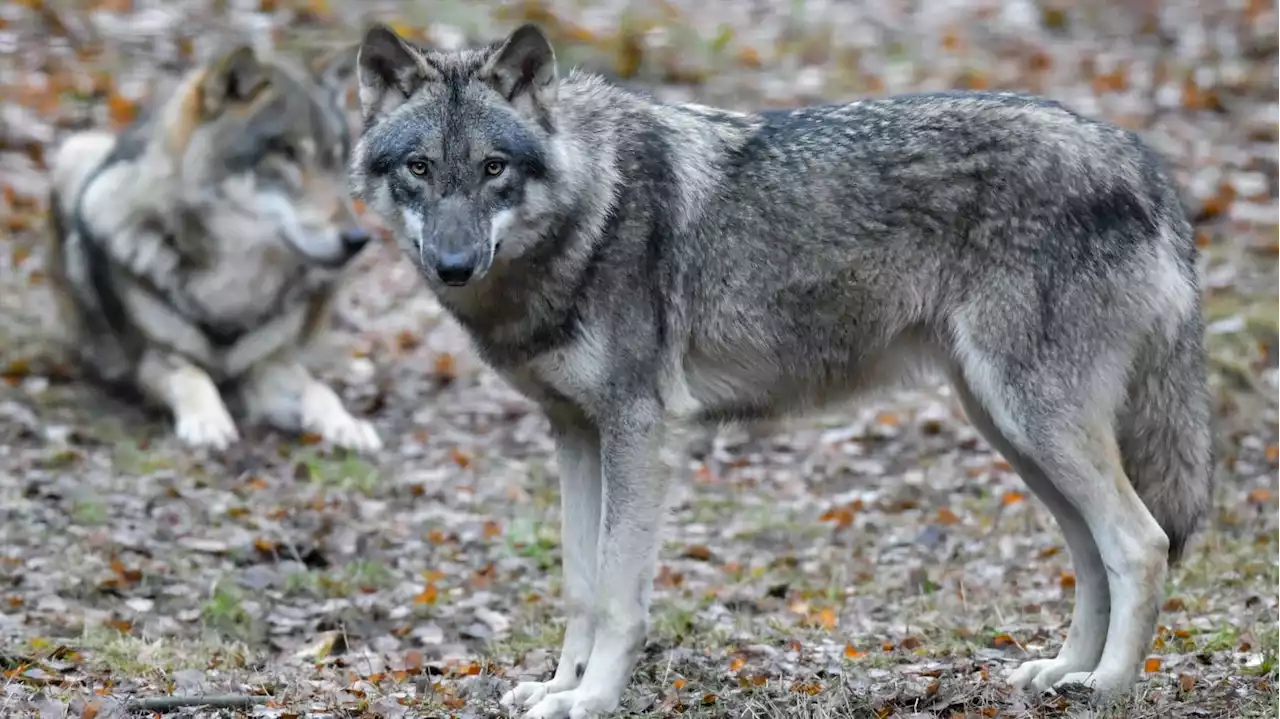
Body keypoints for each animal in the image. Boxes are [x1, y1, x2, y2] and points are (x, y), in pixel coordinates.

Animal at [46, 41, 384, 450]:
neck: (232, 285)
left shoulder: (268, 366)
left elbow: (318, 390)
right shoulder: (155, 359)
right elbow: (192, 376)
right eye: (287, 154)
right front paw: (208, 421)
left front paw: (346, 424)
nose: (357, 240)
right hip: (77, 151)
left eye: (334, 159)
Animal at [348, 22, 1208, 716]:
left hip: (1035, 422)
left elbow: (620, 594)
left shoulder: (641, 430)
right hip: (1012, 429)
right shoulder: (574, 434)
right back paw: (1062, 672)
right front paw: (559, 687)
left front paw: (591, 700)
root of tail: (1140, 159)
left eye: (494, 167)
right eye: (419, 168)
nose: (454, 264)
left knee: (1140, 543)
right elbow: (580, 588)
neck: (590, 213)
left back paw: (1107, 686)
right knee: (1092, 554)